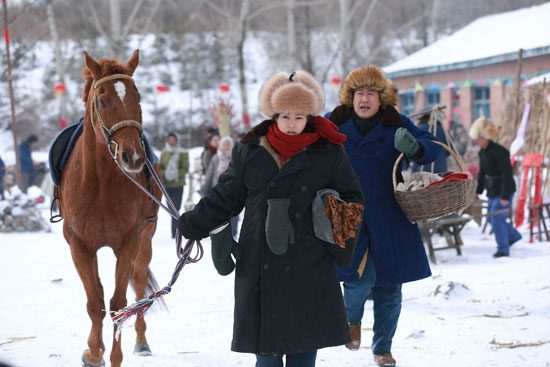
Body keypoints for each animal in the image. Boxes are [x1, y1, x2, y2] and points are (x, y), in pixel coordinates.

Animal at [59, 49, 162, 367]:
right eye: (103, 101)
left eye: (137, 97)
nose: (133, 157)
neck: (101, 183)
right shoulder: (79, 245)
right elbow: (95, 303)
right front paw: (93, 353)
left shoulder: (128, 242)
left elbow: (118, 305)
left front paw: (113, 355)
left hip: (146, 240)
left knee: (139, 284)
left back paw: (141, 341)